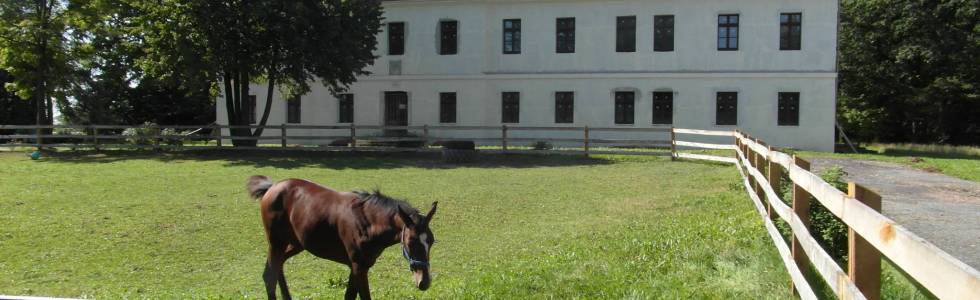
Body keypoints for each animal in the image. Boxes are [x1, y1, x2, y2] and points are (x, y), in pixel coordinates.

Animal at [247, 176, 438, 300]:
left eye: (431, 241)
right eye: (411, 242)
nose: (424, 282)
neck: (367, 221)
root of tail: (273, 186)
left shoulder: (358, 266)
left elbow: (349, 296)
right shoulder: (358, 266)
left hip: (296, 243)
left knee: (278, 266)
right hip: (276, 242)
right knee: (269, 275)